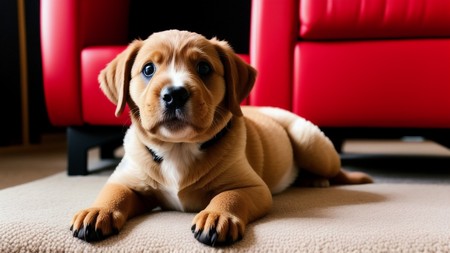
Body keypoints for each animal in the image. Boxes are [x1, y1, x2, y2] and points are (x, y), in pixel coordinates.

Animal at [70, 29, 372, 245]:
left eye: (204, 68)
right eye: (148, 69)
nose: (174, 94)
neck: (178, 148)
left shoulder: (252, 187)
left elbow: (230, 196)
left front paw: (217, 216)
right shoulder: (128, 180)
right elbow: (114, 193)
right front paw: (97, 211)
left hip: (310, 143)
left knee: (336, 170)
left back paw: (328, 180)